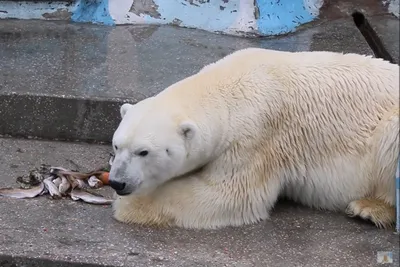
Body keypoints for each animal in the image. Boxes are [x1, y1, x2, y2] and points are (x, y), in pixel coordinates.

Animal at [108, 47, 398, 230]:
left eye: (144, 152)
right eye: (116, 146)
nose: (117, 182)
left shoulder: (255, 137)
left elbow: (230, 195)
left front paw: (128, 206)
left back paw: (369, 208)